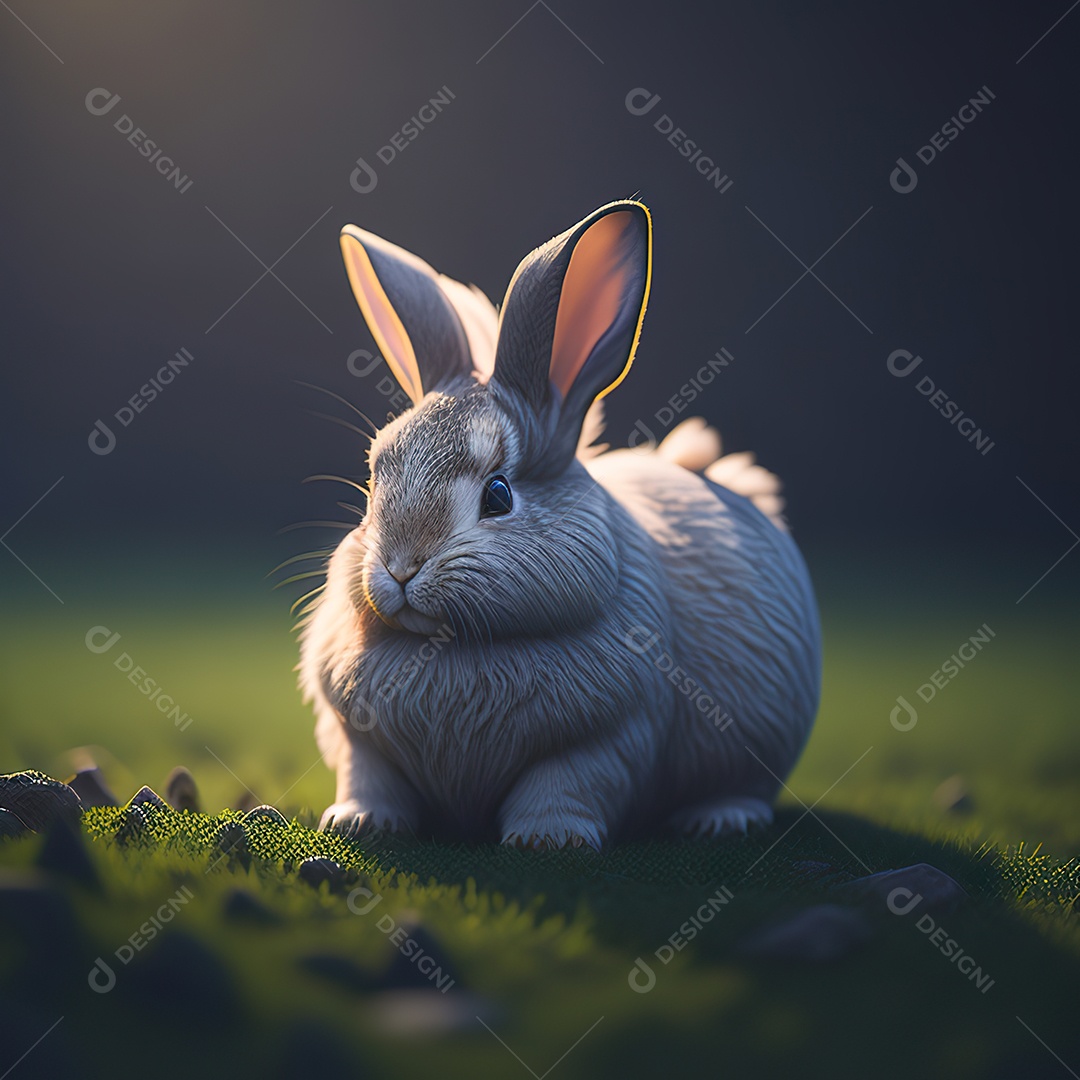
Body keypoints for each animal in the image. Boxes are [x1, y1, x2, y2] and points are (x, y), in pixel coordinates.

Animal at [299, 199, 821, 850]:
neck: (452, 645)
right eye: (374, 480)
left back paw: (719, 819)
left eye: (498, 495)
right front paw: (358, 823)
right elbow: (368, 778)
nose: (400, 568)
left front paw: (548, 840)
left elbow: (568, 783)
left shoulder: (611, 736)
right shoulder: (358, 737)